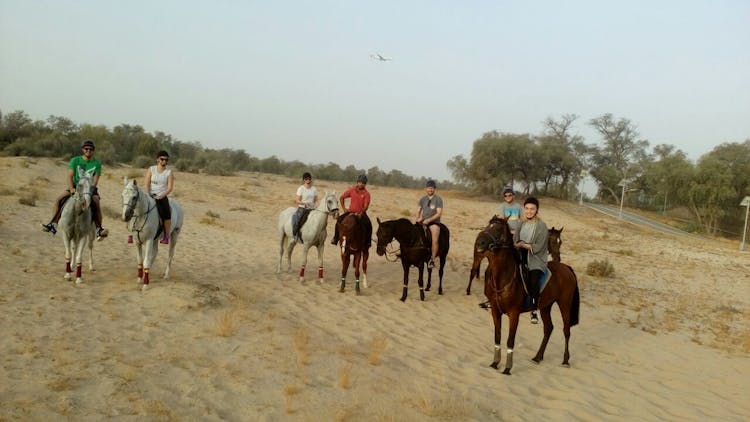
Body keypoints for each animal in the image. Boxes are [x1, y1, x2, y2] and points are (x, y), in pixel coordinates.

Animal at [484, 218, 584, 376]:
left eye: (498, 229)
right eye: (489, 226)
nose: (481, 242)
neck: (504, 276)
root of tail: (567, 268)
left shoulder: (514, 314)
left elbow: (510, 340)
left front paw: (507, 368)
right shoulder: (495, 311)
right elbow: (497, 337)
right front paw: (495, 363)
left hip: (564, 304)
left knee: (566, 330)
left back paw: (565, 360)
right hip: (545, 307)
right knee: (549, 328)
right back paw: (538, 357)